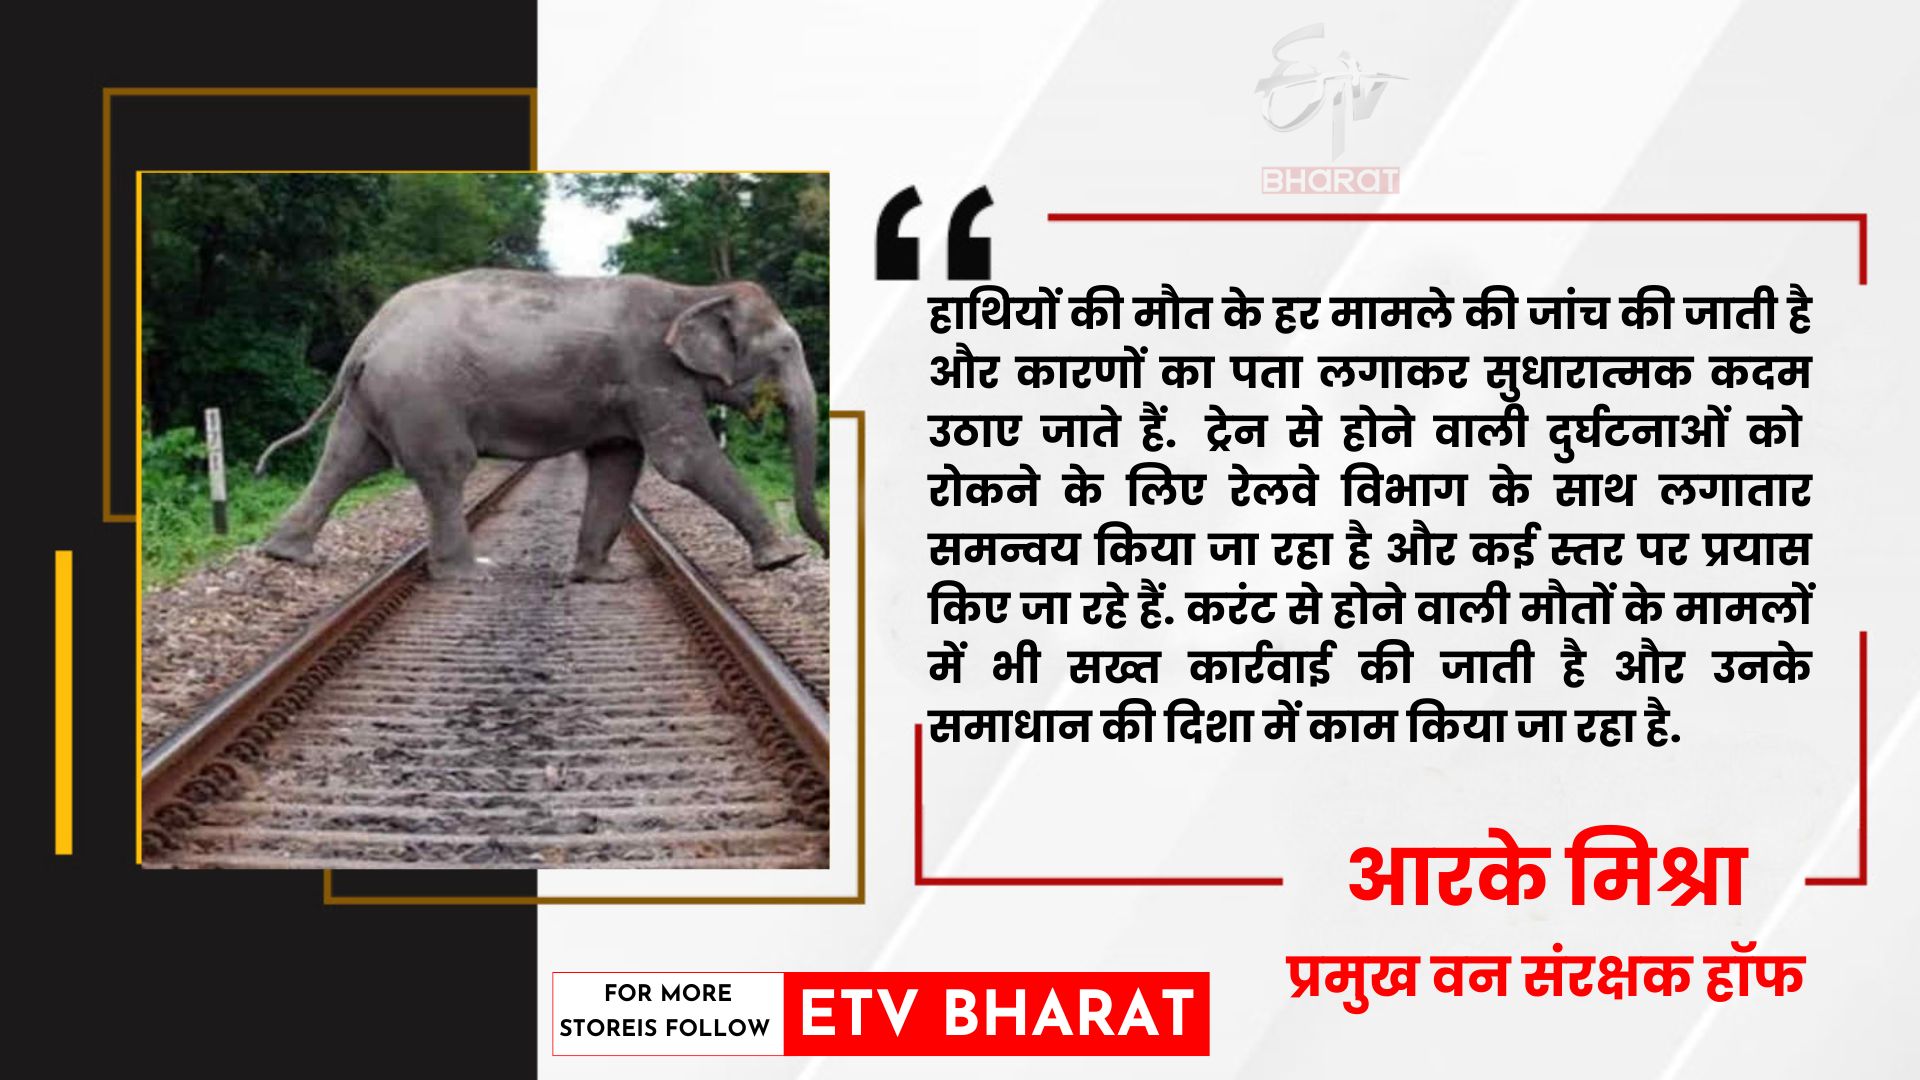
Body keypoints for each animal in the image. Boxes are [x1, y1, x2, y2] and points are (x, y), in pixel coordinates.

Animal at [252, 269, 828, 581]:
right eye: (785, 349)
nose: (823, 548)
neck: (694, 293)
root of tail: (369, 335)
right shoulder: (650, 372)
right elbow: (685, 461)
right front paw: (782, 559)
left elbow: (618, 462)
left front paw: (599, 576)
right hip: (422, 393)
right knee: (445, 468)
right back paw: (471, 573)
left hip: (377, 395)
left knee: (347, 459)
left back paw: (285, 555)